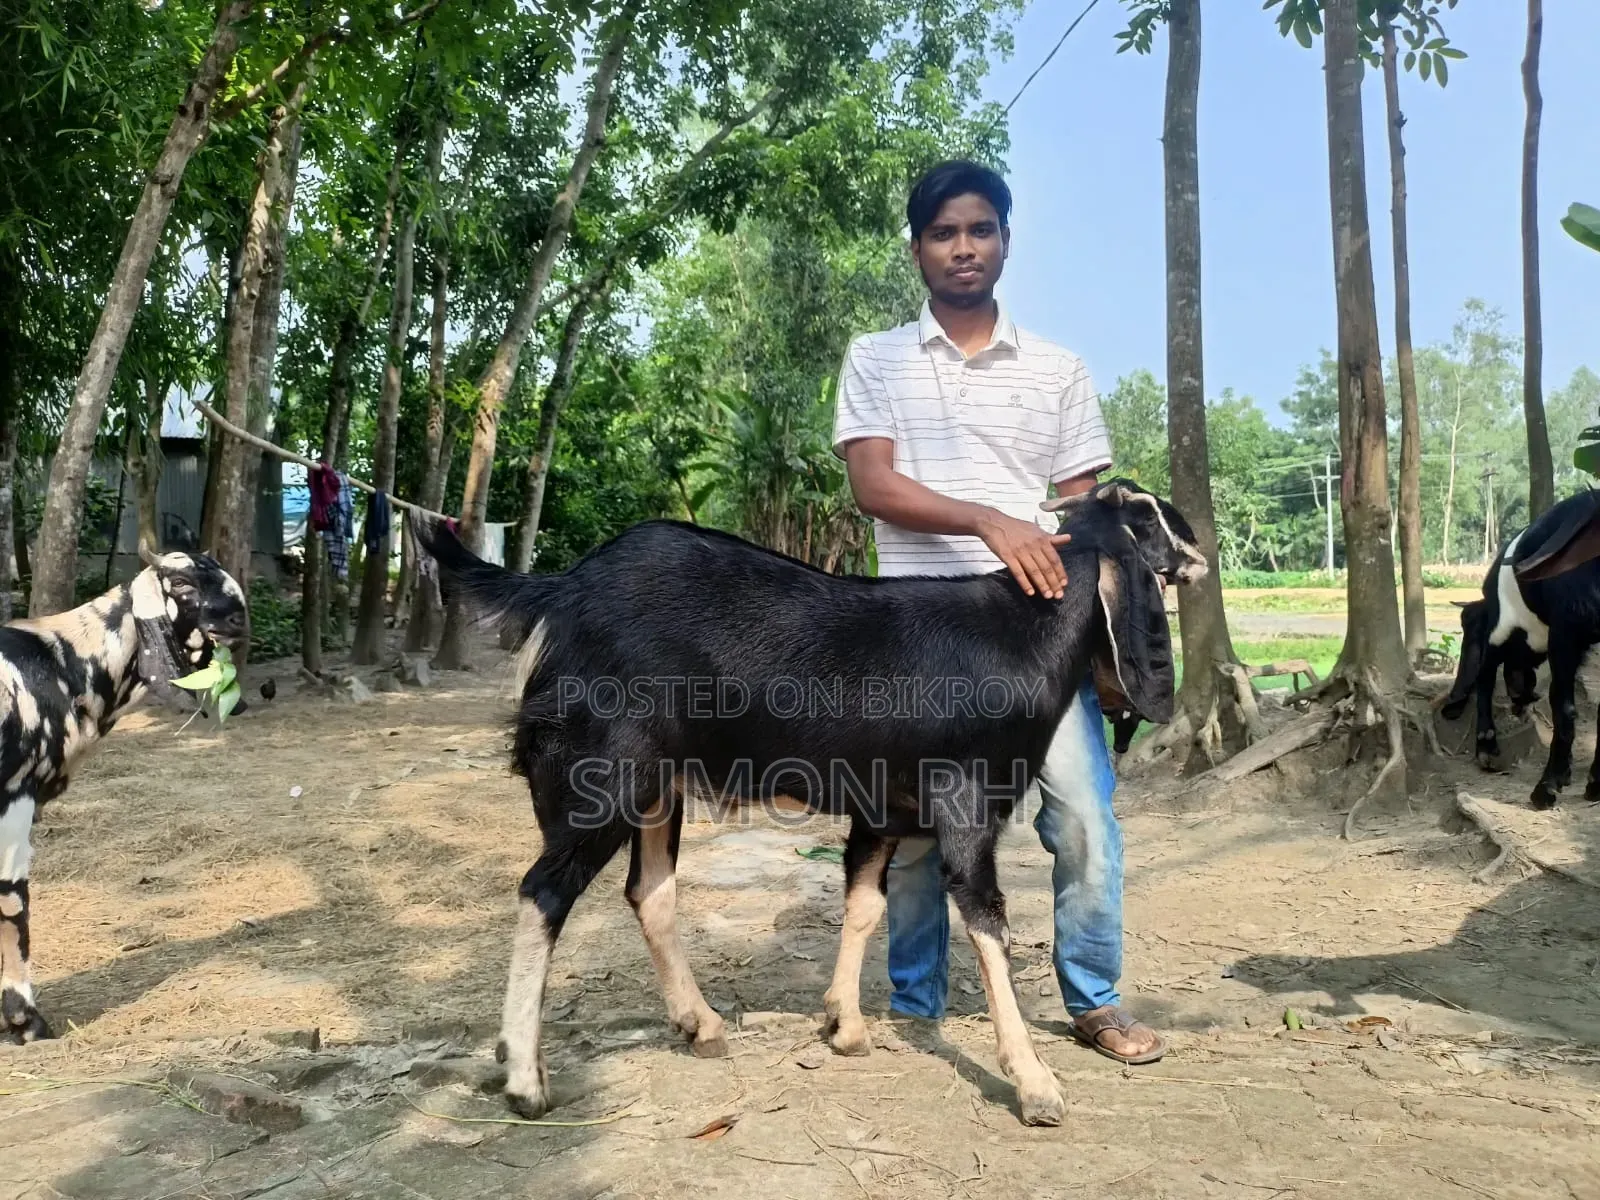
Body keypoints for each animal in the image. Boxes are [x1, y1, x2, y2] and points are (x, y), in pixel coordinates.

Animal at [1, 550, 247, 1042]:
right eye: (182, 584)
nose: (239, 618)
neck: (63, 663)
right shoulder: (15, 798)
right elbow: (13, 905)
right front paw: (25, 1022)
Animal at [415, 478, 1205, 1127]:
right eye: (1147, 516)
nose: (1200, 548)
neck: (1025, 634)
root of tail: (562, 591)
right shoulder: (967, 798)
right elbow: (987, 921)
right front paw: (1035, 1083)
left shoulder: (882, 805)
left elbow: (863, 903)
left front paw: (845, 1026)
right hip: (600, 773)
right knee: (543, 891)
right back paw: (525, 1078)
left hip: (657, 784)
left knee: (649, 890)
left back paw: (699, 1023)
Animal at [1441, 488, 1600, 808]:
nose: (1520, 699)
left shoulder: (1508, 633)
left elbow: (1486, 678)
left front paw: (1486, 747)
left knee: (1563, 707)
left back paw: (1545, 788)